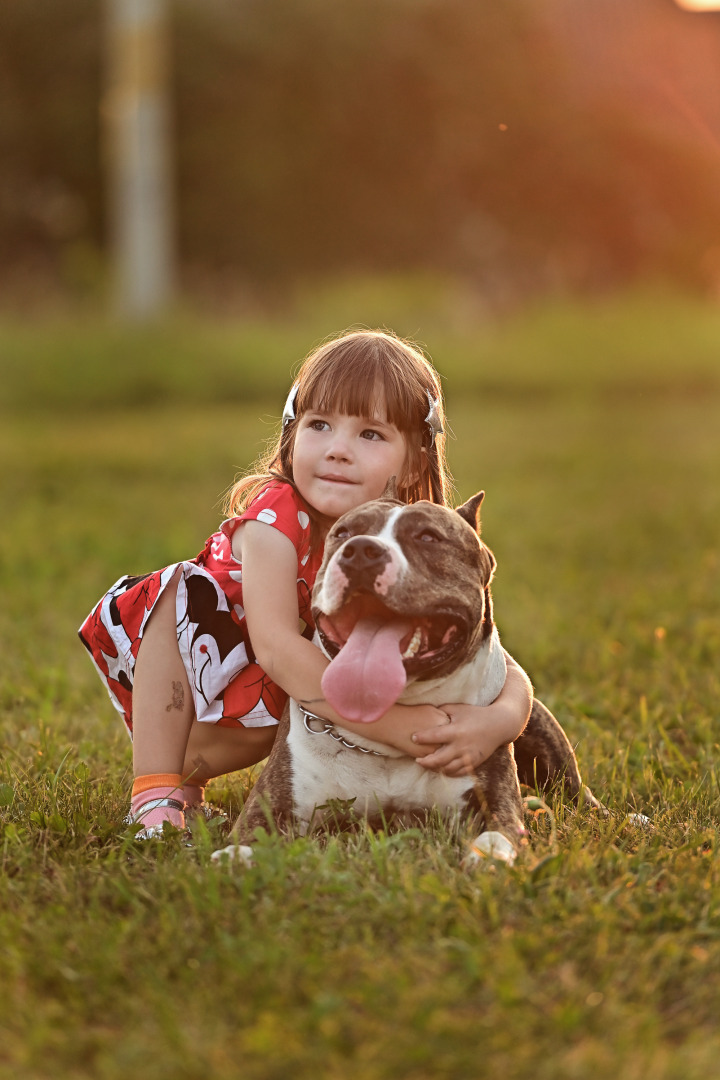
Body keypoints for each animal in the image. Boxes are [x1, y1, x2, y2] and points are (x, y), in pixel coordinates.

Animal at [212, 490, 604, 868]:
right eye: (343, 534)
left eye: (428, 536)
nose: (360, 551)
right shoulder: (276, 801)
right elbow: (252, 832)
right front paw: (235, 857)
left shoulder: (495, 798)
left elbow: (501, 831)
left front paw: (489, 857)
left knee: (578, 797)